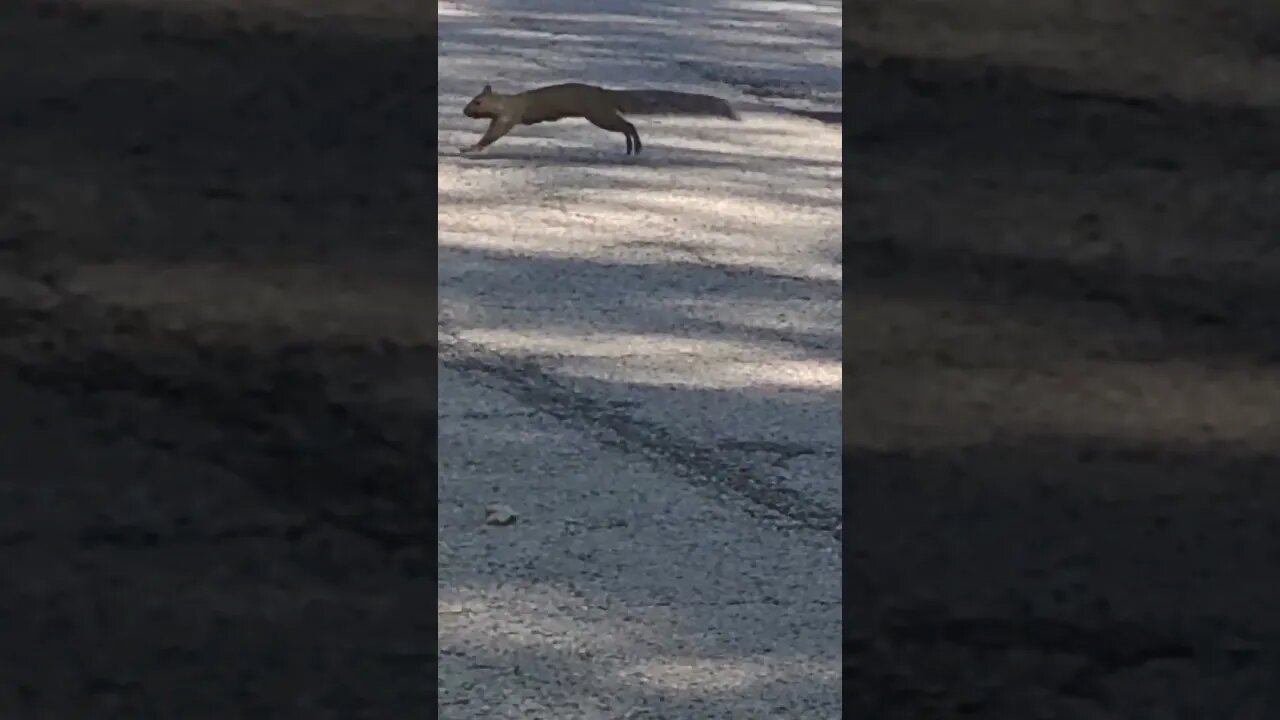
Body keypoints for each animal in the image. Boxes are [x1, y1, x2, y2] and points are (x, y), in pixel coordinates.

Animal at [460, 82, 739, 156]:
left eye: (477, 102)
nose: (464, 111)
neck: (504, 101)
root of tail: (606, 94)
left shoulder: (507, 117)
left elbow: (493, 134)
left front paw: (470, 148)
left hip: (599, 115)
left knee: (628, 125)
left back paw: (634, 146)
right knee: (627, 125)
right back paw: (631, 147)